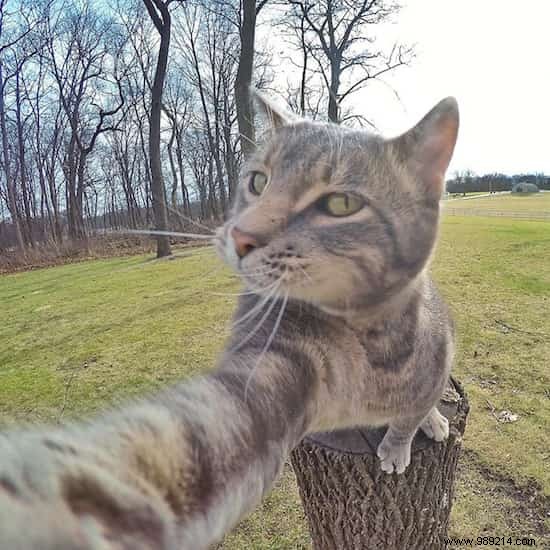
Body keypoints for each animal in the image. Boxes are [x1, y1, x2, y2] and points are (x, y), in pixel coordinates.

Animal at [0, 92, 460, 548]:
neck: (369, 340)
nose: (241, 235)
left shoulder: (434, 365)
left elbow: (409, 416)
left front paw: (401, 443)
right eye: (258, 182)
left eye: (341, 204)